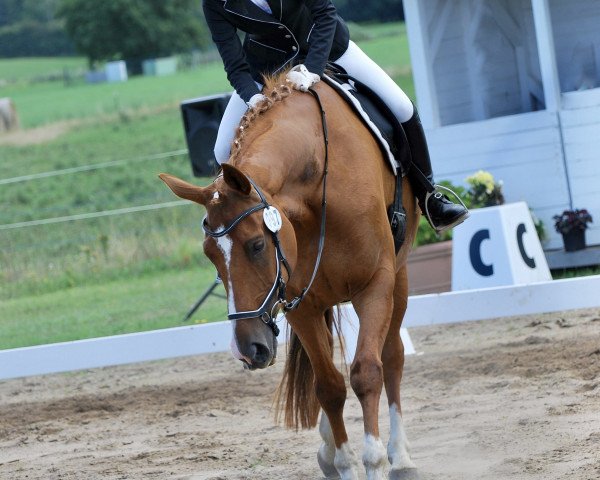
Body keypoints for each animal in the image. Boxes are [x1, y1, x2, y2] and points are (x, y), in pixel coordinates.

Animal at [159, 72, 422, 480]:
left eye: (256, 245)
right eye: (209, 256)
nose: (248, 350)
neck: (316, 183)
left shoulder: (375, 285)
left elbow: (367, 372)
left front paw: (376, 460)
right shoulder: (302, 303)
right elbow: (328, 385)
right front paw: (345, 463)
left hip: (399, 274)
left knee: (392, 356)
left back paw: (401, 456)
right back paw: (329, 449)